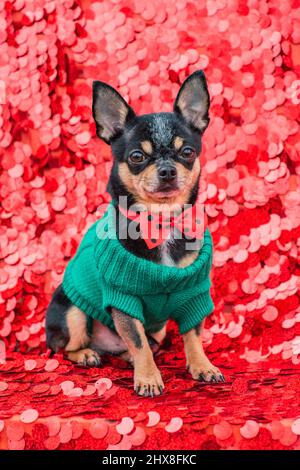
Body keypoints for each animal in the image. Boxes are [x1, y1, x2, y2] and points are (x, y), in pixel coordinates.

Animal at [45, 70, 225, 396]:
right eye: (137, 157)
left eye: (188, 152)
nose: (167, 170)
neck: (161, 223)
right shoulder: (123, 299)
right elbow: (138, 340)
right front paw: (149, 378)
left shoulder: (193, 294)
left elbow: (193, 335)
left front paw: (202, 366)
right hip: (72, 313)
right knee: (66, 347)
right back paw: (87, 354)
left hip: (159, 331)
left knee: (136, 345)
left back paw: (124, 356)